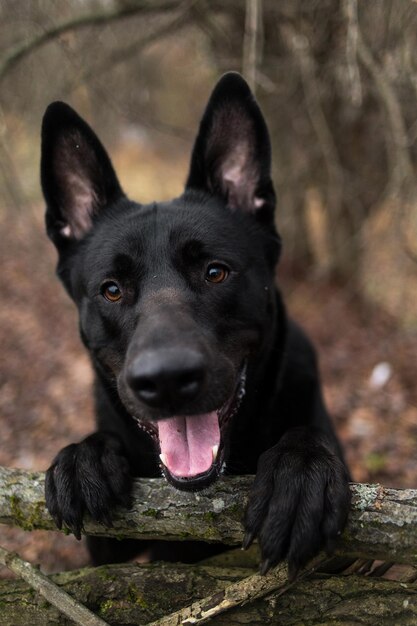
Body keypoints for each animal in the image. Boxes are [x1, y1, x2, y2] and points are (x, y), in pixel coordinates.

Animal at [41, 70, 348, 572]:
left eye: (215, 272)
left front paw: (301, 470)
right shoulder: (106, 552)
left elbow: (307, 439)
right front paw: (85, 456)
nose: (166, 380)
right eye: (112, 289)